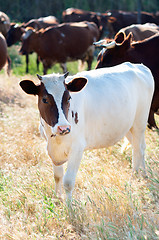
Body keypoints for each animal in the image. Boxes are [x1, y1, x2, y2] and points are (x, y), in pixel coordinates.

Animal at [19, 62, 154, 202]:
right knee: (139, 147)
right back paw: (142, 175)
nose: (64, 128)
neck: (56, 139)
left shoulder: (77, 148)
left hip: (140, 122)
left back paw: (135, 177)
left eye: (69, 98)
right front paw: (57, 199)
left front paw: (69, 207)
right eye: (44, 100)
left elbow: (68, 182)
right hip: (127, 125)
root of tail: (138, 65)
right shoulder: (53, 149)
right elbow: (57, 176)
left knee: (138, 149)